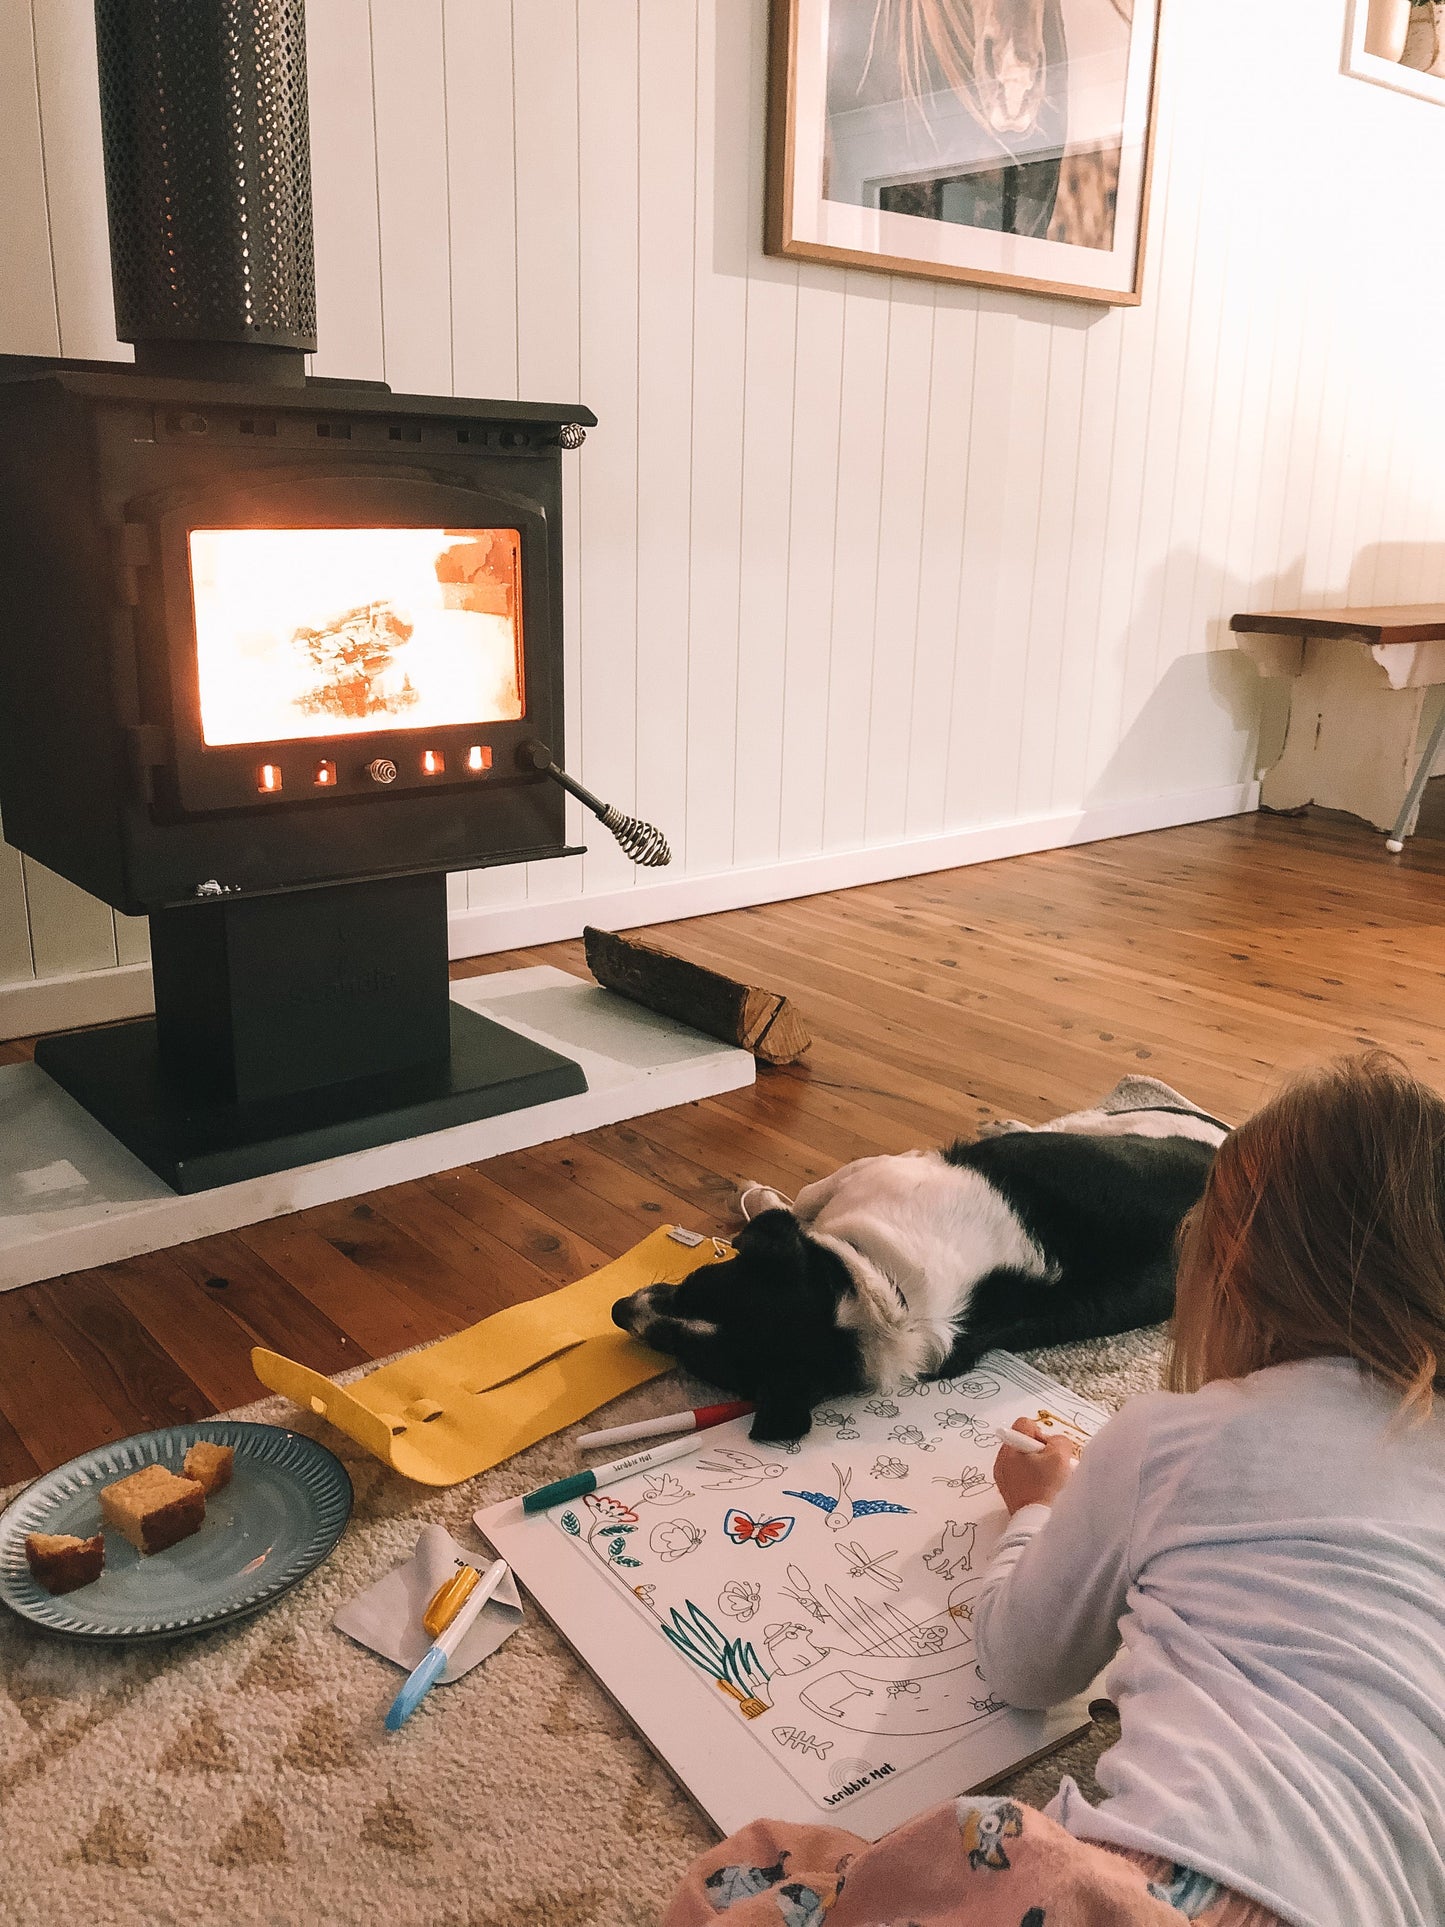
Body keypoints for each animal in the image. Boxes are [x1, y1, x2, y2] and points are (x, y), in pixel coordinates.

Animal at [612, 1094, 1225, 1441]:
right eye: (694, 1285)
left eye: (691, 1361)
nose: (618, 1310)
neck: (882, 1299)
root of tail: (1224, 1143)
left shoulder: (875, 1173)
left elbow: (803, 1197)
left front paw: (760, 1196)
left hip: (1116, 1121)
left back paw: (1003, 1124)